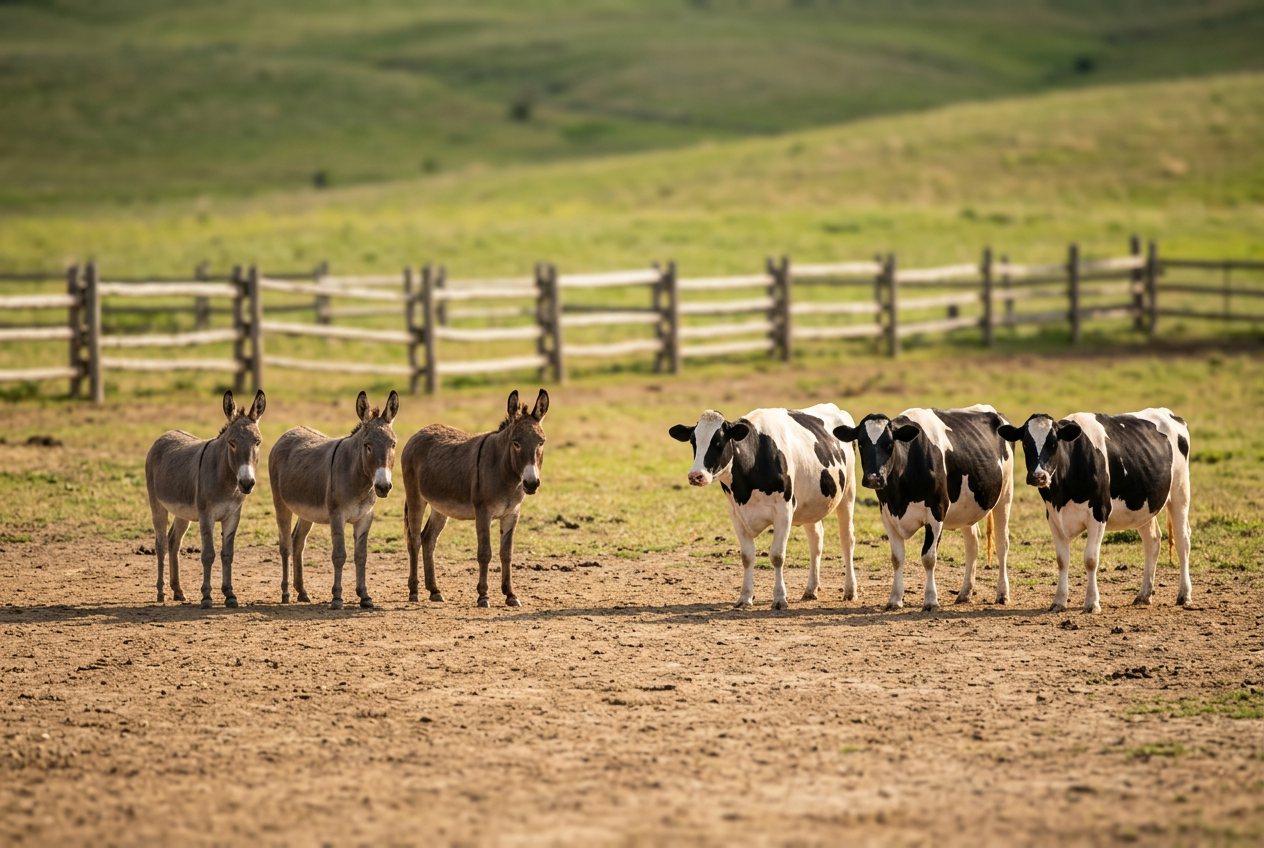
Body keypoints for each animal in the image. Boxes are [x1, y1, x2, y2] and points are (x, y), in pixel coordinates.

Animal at [669, 404, 857, 610]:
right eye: (693, 442)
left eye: (718, 442)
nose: (696, 475)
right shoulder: (736, 514)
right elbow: (747, 556)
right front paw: (745, 597)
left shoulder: (784, 510)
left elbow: (777, 555)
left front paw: (780, 598)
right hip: (810, 505)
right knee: (816, 540)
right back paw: (811, 589)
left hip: (848, 493)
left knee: (847, 540)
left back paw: (850, 590)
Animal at [832, 405, 1013, 612]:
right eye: (861, 443)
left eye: (890, 444)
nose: (873, 479)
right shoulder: (887, 515)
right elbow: (897, 558)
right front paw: (895, 599)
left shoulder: (937, 512)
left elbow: (928, 558)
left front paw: (931, 600)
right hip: (967, 509)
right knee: (972, 545)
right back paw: (965, 593)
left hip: (1005, 495)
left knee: (1002, 544)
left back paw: (1002, 594)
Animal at [998, 409, 1191, 613]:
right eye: (1026, 443)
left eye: (1053, 443)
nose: (1039, 476)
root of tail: (1169, 414)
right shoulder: (1053, 518)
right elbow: (1062, 560)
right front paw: (1059, 601)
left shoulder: (1099, 512)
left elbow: (1090, 559)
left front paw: (1092, 603)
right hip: (1144, 505)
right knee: (1152, 541)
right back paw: (1144, 595)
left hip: (1180, 493)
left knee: (1183, 541)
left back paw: (1184, 594)